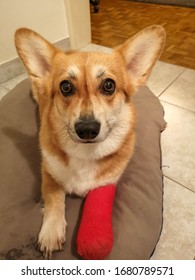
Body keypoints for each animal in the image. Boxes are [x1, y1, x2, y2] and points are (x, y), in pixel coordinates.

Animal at [14, 25, 165, 258]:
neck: (85, 153)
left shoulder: (106, 184)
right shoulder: (48, 173)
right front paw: (51, 232)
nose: (87, 129)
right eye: (66, 87)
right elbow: (54, 199)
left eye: (109, 85)